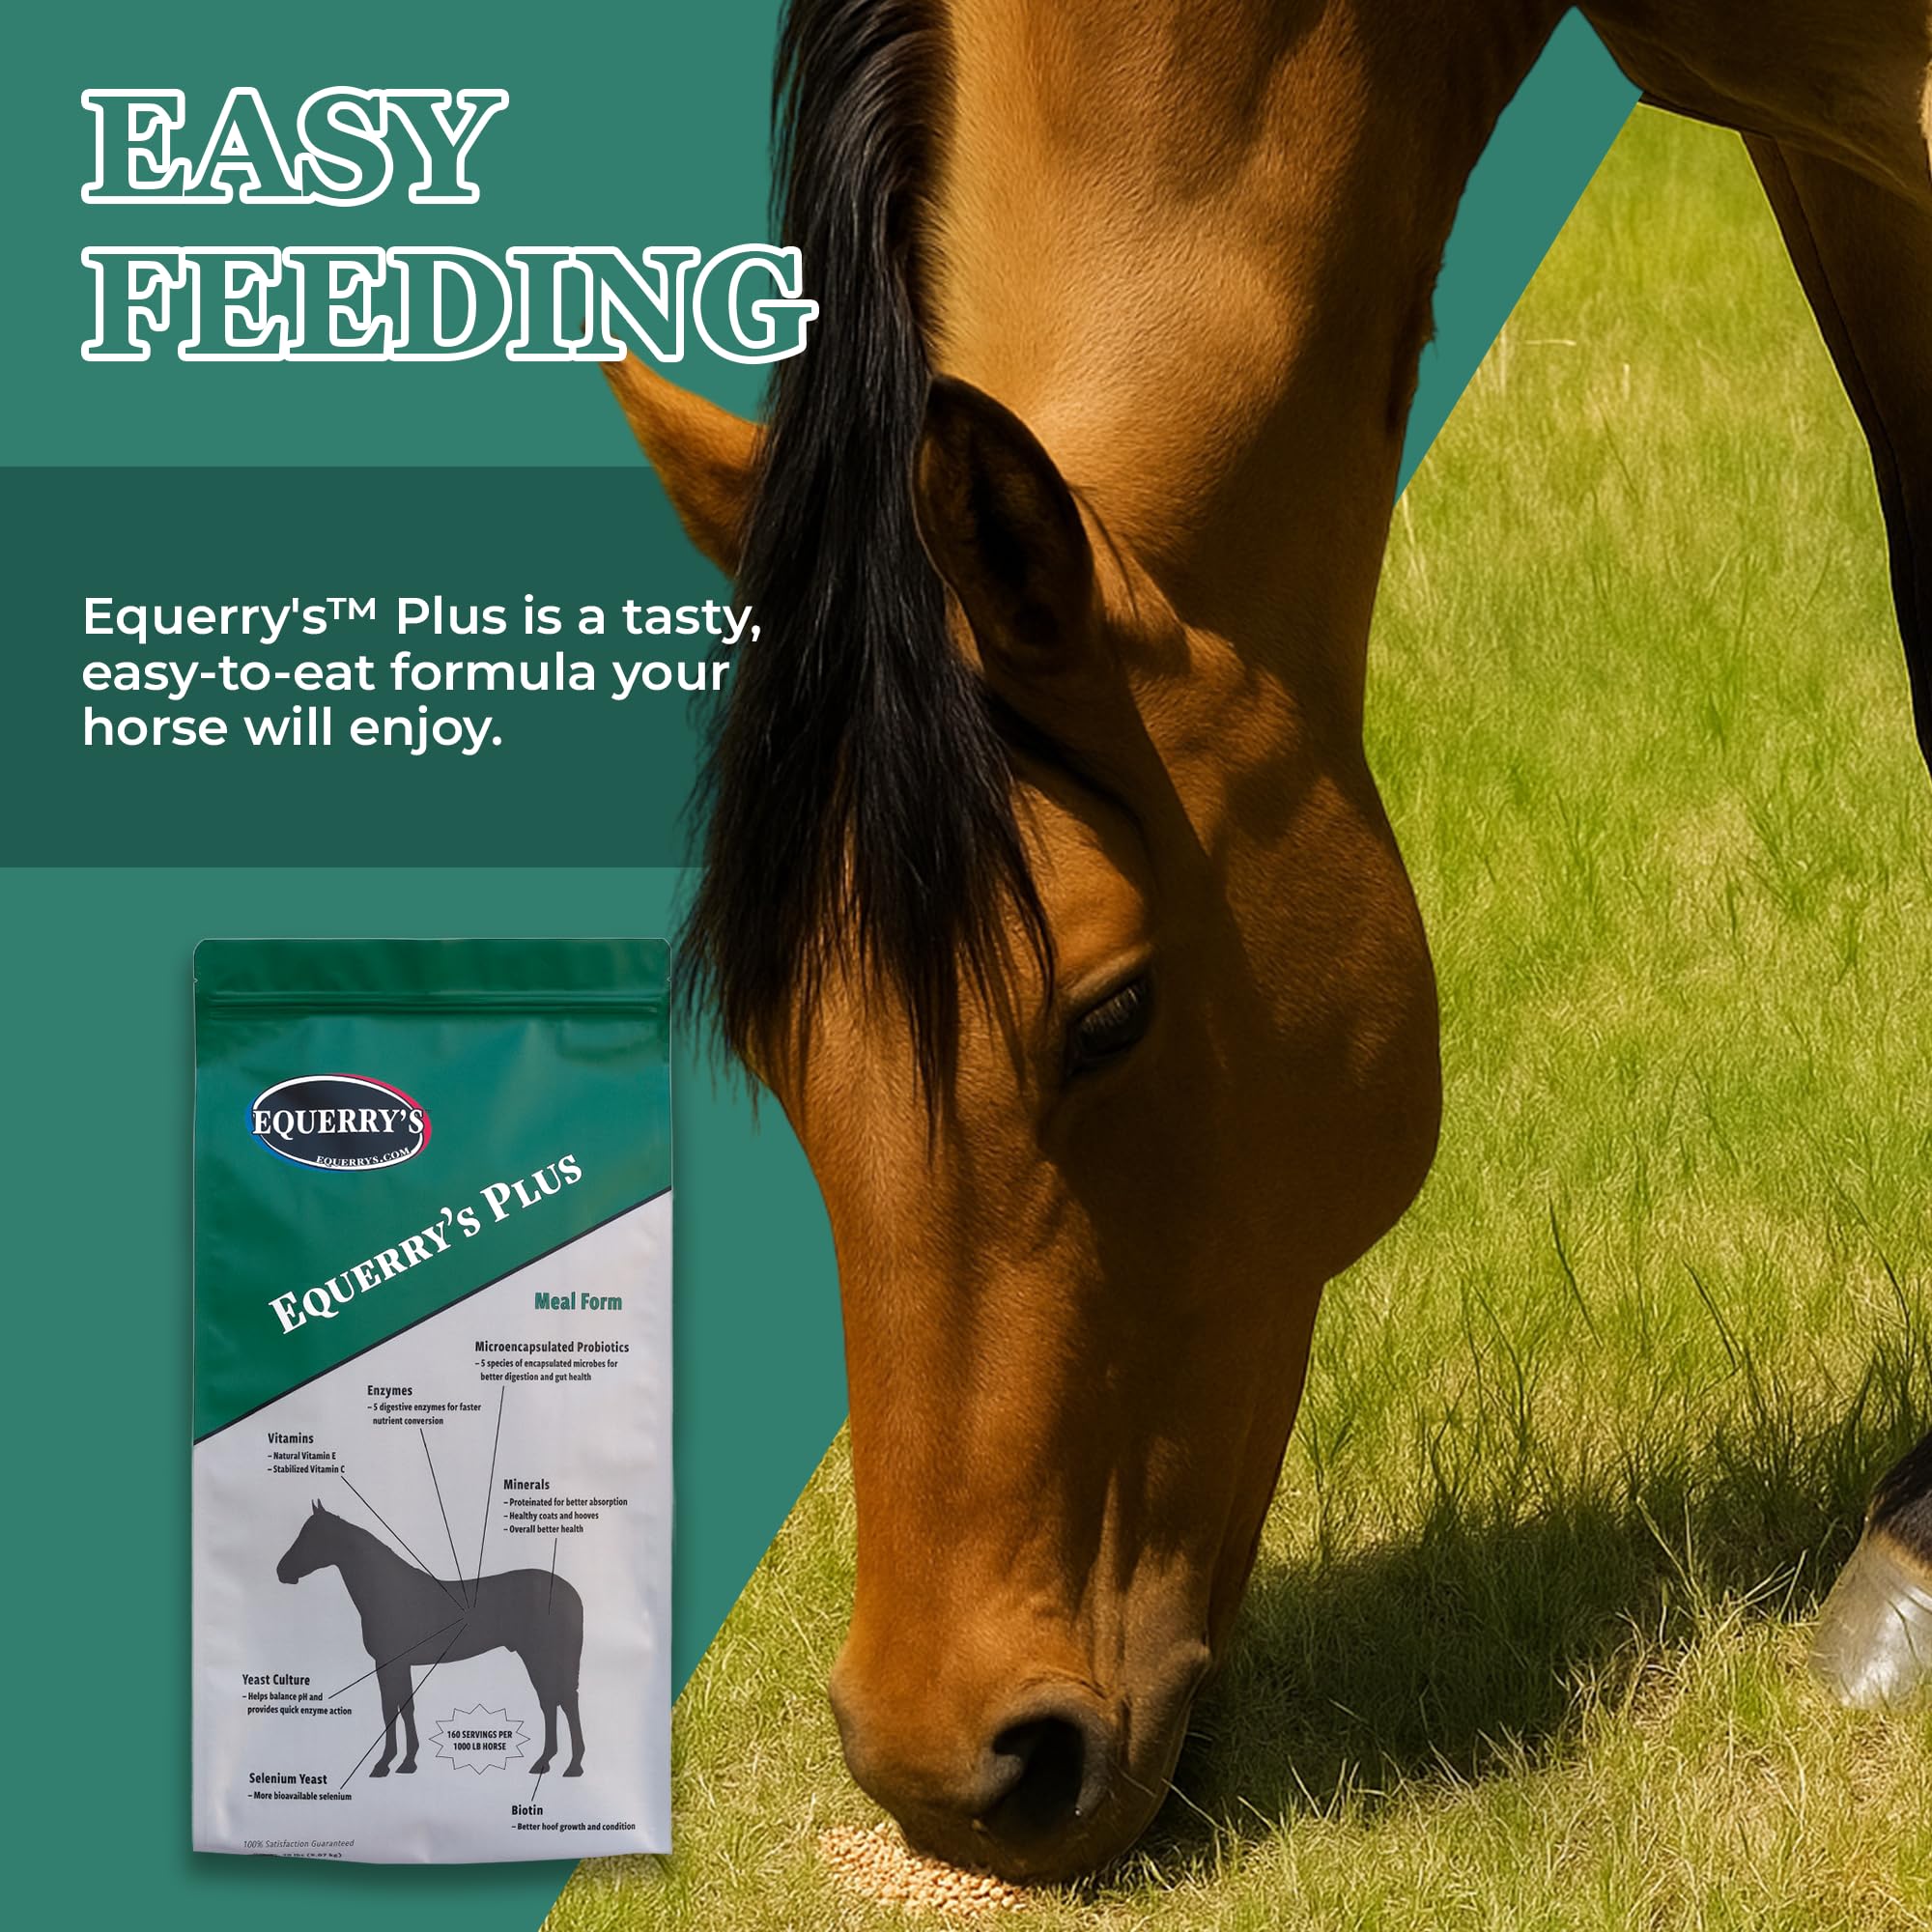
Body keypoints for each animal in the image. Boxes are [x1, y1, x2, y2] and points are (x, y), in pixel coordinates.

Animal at [275, 1502, 587, 1779]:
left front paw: (385, 1764)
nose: (281, 1571)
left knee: (562, 1700)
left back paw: (572, 1766)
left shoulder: (388, 1663)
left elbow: (390, 1708)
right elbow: (404, 1707)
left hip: (541, 1656)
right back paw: (546, 1762)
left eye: (312, 1536)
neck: (388, 1591)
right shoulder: (399, 1665)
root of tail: (570, 1592)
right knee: (551, 1701)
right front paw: (407, 1761)